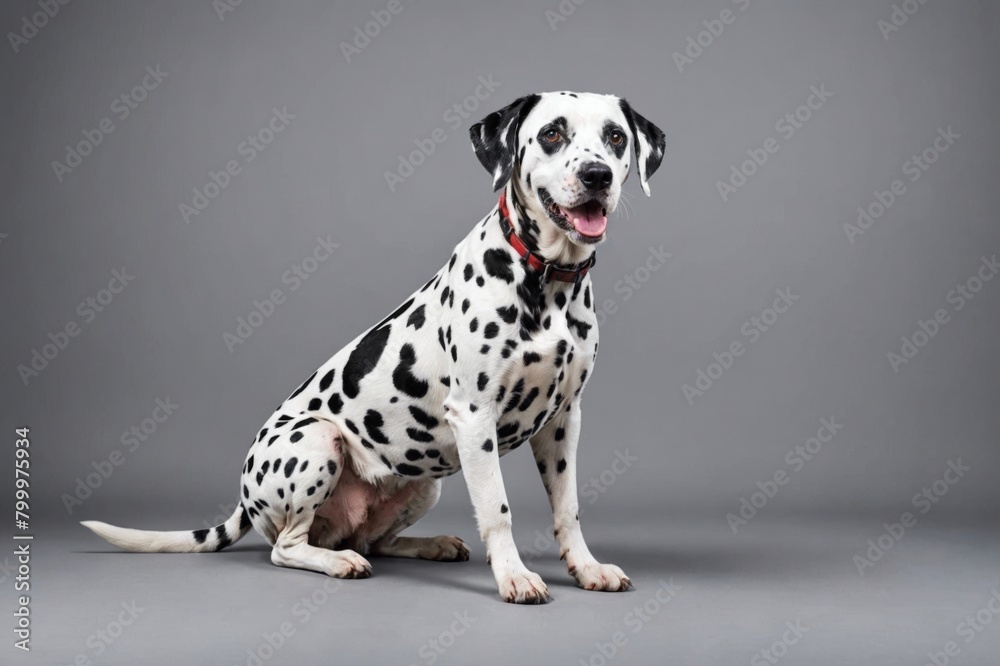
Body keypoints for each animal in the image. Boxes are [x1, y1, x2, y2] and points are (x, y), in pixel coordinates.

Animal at [84, 91, 664, 604]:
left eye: (615, 137)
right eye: (551, 134)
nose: (597, 176)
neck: (546, 279)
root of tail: (245, 501)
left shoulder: (564, 421)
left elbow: (567, 509)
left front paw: (586, 568)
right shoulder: (474, 417)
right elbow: (498, 510)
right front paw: (515, 576)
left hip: (426, 480)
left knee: (374, 540)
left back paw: (429, 544)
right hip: (318, 441)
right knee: (289, 548)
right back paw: (337, 561)